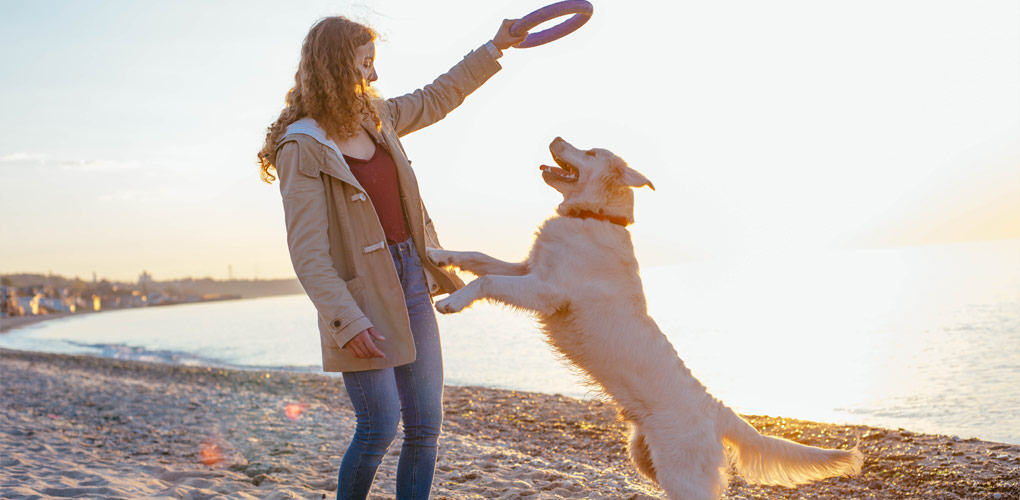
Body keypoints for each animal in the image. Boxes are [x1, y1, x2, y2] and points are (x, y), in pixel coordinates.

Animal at [426, 136, 864, 500]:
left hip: (682, 473)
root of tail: (716, 409)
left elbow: (486, 281)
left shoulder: (547, 290)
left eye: (590, 152)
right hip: (646, 458)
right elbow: (479, 258)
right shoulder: (527, 269)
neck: (594, 216)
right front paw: (438, 254)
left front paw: (452, 301)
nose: (555, 136)